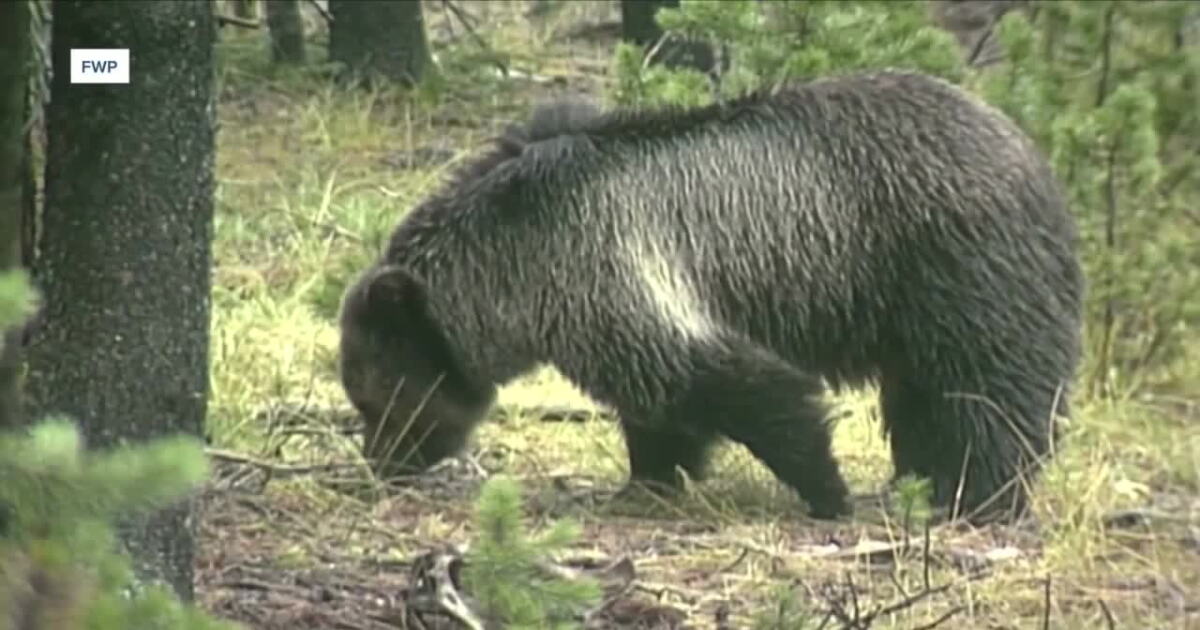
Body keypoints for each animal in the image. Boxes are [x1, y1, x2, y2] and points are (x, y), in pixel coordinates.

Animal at [337, 70, 1084, 523]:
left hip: (955, 268)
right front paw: (646, 479)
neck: (511, 267)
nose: (382, 464)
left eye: (379, 397)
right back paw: (922, 482)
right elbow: (660, 407)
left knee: (986, 390)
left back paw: (978, 495)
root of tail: (1031, 151)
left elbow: (741, 386)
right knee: (923, 396)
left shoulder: (609, 268)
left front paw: (827, 491)